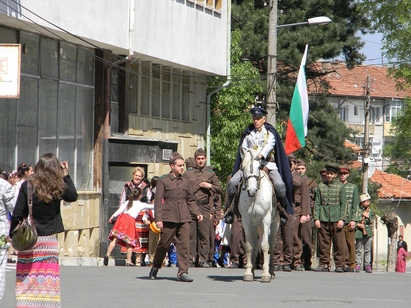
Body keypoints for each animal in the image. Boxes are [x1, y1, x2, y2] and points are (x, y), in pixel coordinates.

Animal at [238, 148, 280, 282]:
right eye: (243, 168)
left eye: (258, 167)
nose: (251, 191)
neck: (254, 198)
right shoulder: (246, 222)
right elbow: (249, 246)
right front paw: (248, 272)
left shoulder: (266, 220)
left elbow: (265, 246)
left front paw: (266, 274)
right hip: (255, 226)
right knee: (255, 243)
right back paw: (252, 269)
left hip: (274, 223)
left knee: (271, 243)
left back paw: (271, 271)